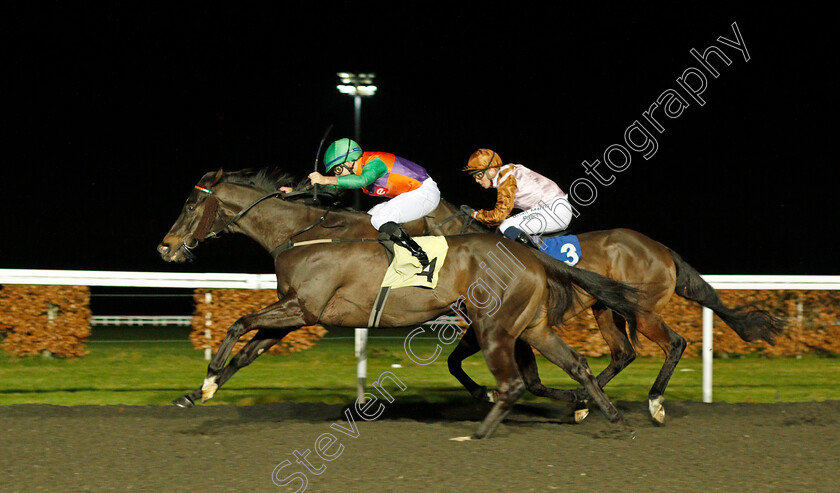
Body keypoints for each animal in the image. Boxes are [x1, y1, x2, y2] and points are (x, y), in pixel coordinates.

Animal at [156, 170, 644, 438]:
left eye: (191, 203)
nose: (165, 247)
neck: (303, 233)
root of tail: (530, 254)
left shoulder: (303, 309)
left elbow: (239, 324)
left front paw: (208, 377)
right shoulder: (294, 316)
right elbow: (247, 351)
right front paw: (197, 392)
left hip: (497, 326)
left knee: (530, 376)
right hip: (529, 326)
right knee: (573, 365)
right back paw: (604, 414)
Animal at [424, 200, 784, 422]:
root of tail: (662, 249)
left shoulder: (502, 326)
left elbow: (523, 378)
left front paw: (486, 394)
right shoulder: (496, 328)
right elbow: (458, 363)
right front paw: (485, 393)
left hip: (643, 311)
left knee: (675, 343)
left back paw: (654, 402)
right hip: (607, 309)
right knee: (623, 353)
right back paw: (586, 402)